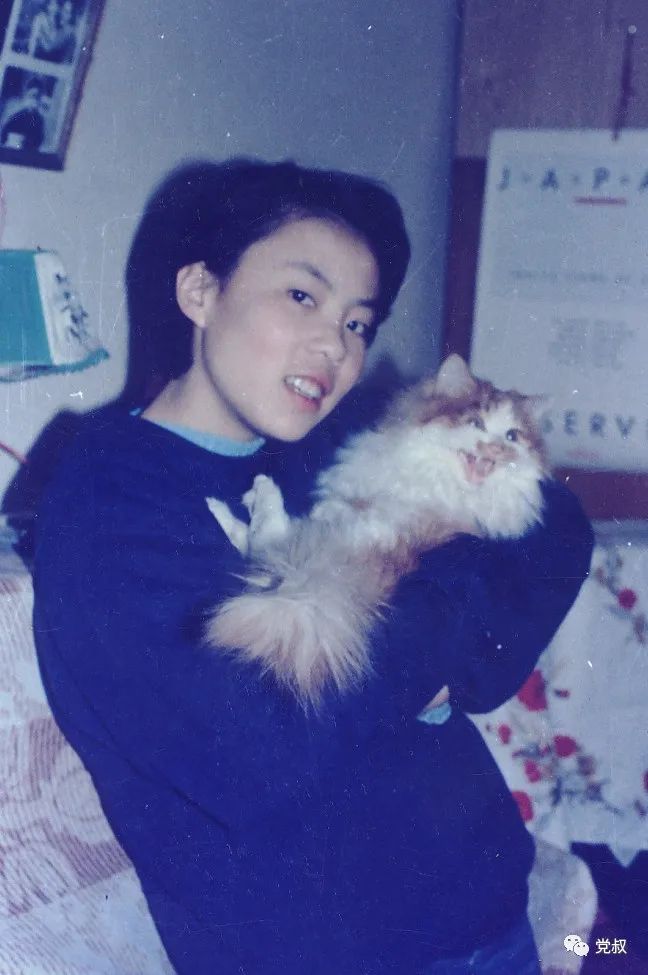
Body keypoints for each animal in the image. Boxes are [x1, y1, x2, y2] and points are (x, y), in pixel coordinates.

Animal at [205, 354, 548, 706]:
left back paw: (255, 493)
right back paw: (226, 504)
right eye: (476, 423)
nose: (495, 451)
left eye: (512, 436)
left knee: (268, 537)